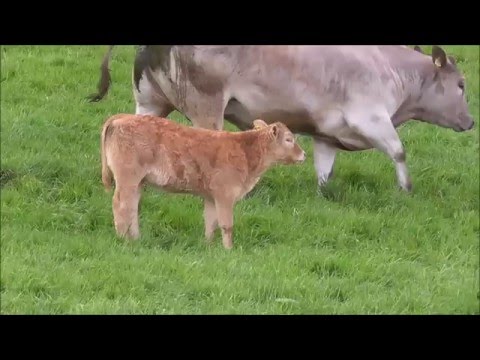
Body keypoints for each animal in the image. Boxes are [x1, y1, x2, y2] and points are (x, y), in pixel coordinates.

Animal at [88, 45, 474, 193]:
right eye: (460, 84)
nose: (471, 122)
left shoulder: (327, 134)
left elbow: (324, 170)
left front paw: (324, 194)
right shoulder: (371, 117)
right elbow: (398, 150)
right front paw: (406, 190)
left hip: (149, 103)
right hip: (206, 106)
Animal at [99, 114, 306, 249]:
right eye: (289, 139)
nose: (303, 154)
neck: (246, 151)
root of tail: (120, 118)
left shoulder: (211, 196)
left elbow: (210, 221)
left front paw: (208, 245)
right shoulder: (225, 194)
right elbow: (226, 224)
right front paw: (229, 249)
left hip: (137, 182)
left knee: (132, 206)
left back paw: (135, 238)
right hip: (127, 178)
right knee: (121, 205)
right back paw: (123, 239)